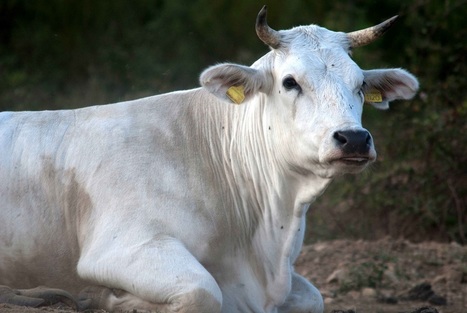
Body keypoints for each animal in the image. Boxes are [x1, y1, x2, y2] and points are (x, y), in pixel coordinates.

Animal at [0, 5, 416, 312]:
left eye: (360, 85)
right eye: (290, 82)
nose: (354, 138)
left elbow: (314, 298)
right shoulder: (121, 247)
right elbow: (203, 291)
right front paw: (113, 299)